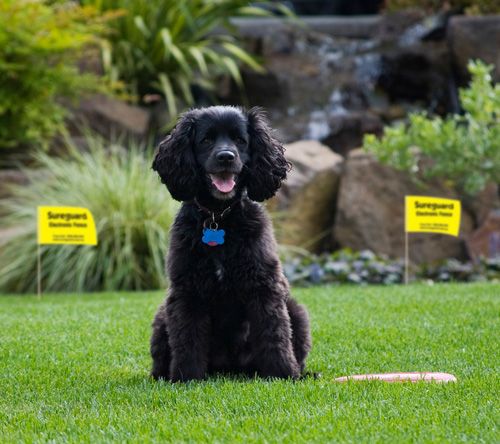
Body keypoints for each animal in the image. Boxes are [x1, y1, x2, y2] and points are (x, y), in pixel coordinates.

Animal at [150, 105, 310, 382]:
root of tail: (230, 368)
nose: (226, 156)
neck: (219, 217)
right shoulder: (186, 290)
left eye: (240, 140)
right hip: (162, 318)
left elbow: (275, 334)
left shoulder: (264, 286)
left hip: (296, 312)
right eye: (205, 140)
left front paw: (282, 373)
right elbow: (187, 337)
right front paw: (186, 377)